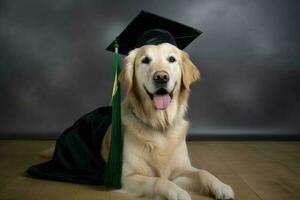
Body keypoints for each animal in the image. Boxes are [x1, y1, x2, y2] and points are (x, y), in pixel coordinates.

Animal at [101, 43, 234, 199]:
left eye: (171, 59)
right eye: (145, 60)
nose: (161, 77)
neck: (160, 124)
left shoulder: (181, 170)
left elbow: (202, 172)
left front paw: (221, 186)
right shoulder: (126, 178)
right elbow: (158, 180)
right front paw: (178, 193)